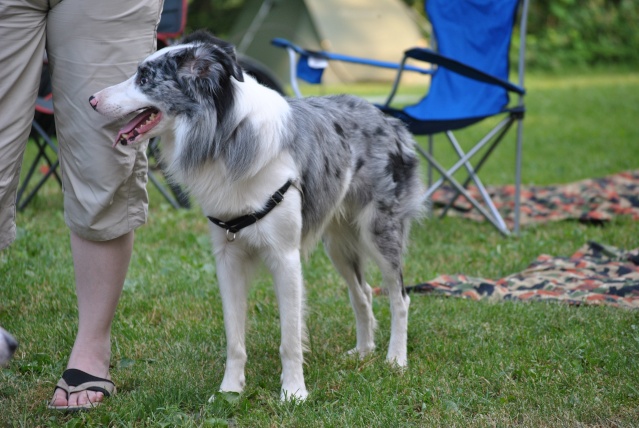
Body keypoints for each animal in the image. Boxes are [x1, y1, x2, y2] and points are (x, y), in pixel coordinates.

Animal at [87, 30, 422, 402]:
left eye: (144, 78)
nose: (91, 100)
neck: (225, 136)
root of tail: (387, 119)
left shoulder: (285, 258)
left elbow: (290, 339)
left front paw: (294, 392)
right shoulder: (228, 258)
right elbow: (235, 339)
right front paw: (230, 391)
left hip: (379, 232)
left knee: (400, 296)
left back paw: (396, 359)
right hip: (338, 243)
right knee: (362, 293)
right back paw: (363, 351)